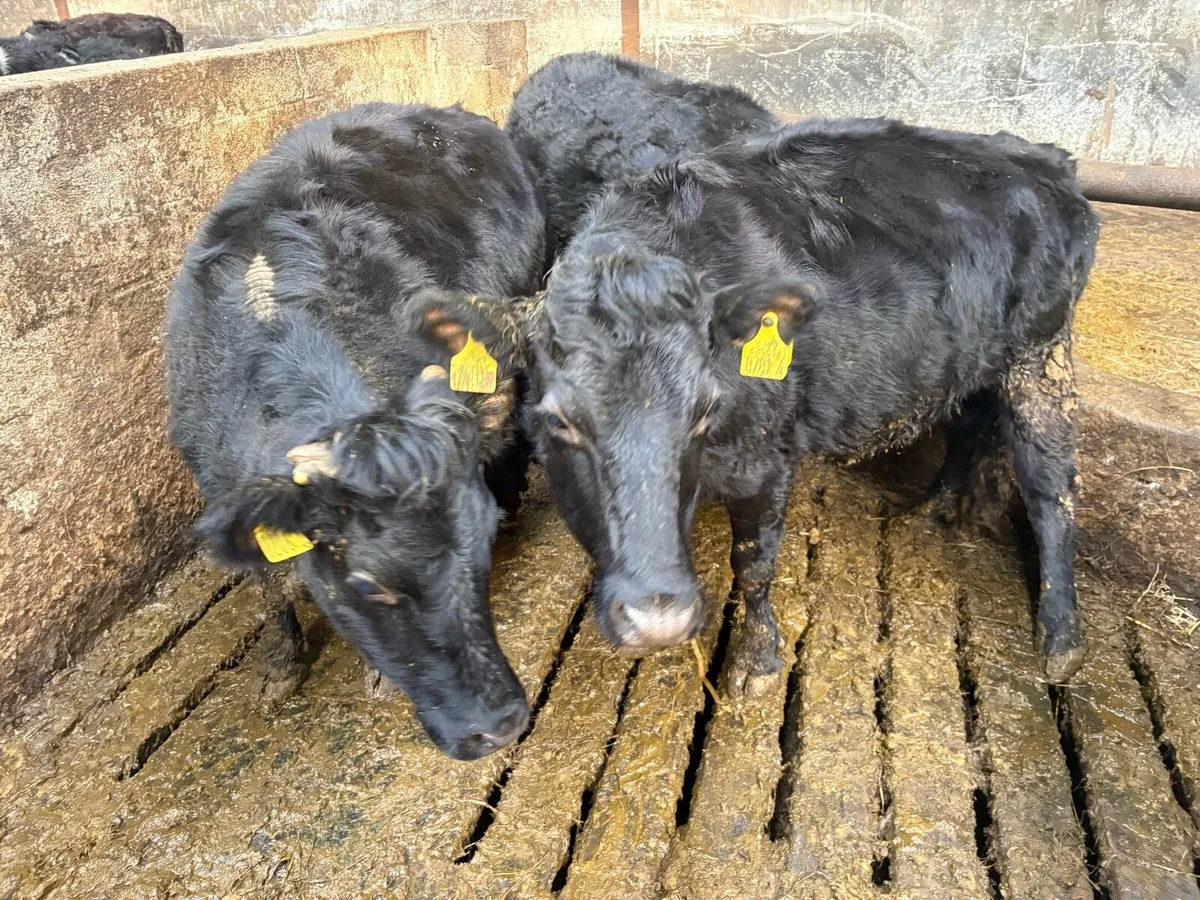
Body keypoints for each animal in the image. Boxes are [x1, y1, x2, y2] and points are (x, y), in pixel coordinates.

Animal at [486, 117, 1098, 691]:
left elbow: (753, 563)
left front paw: (757, 662)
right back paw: (933, 508)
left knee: (1051, 487)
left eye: (704, 411)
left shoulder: (768, 455)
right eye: (560, 421)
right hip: (972, 357)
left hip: (1042, 355)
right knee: (970, 426)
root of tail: (1042, 157)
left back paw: (1060, 638)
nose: (659, 621)